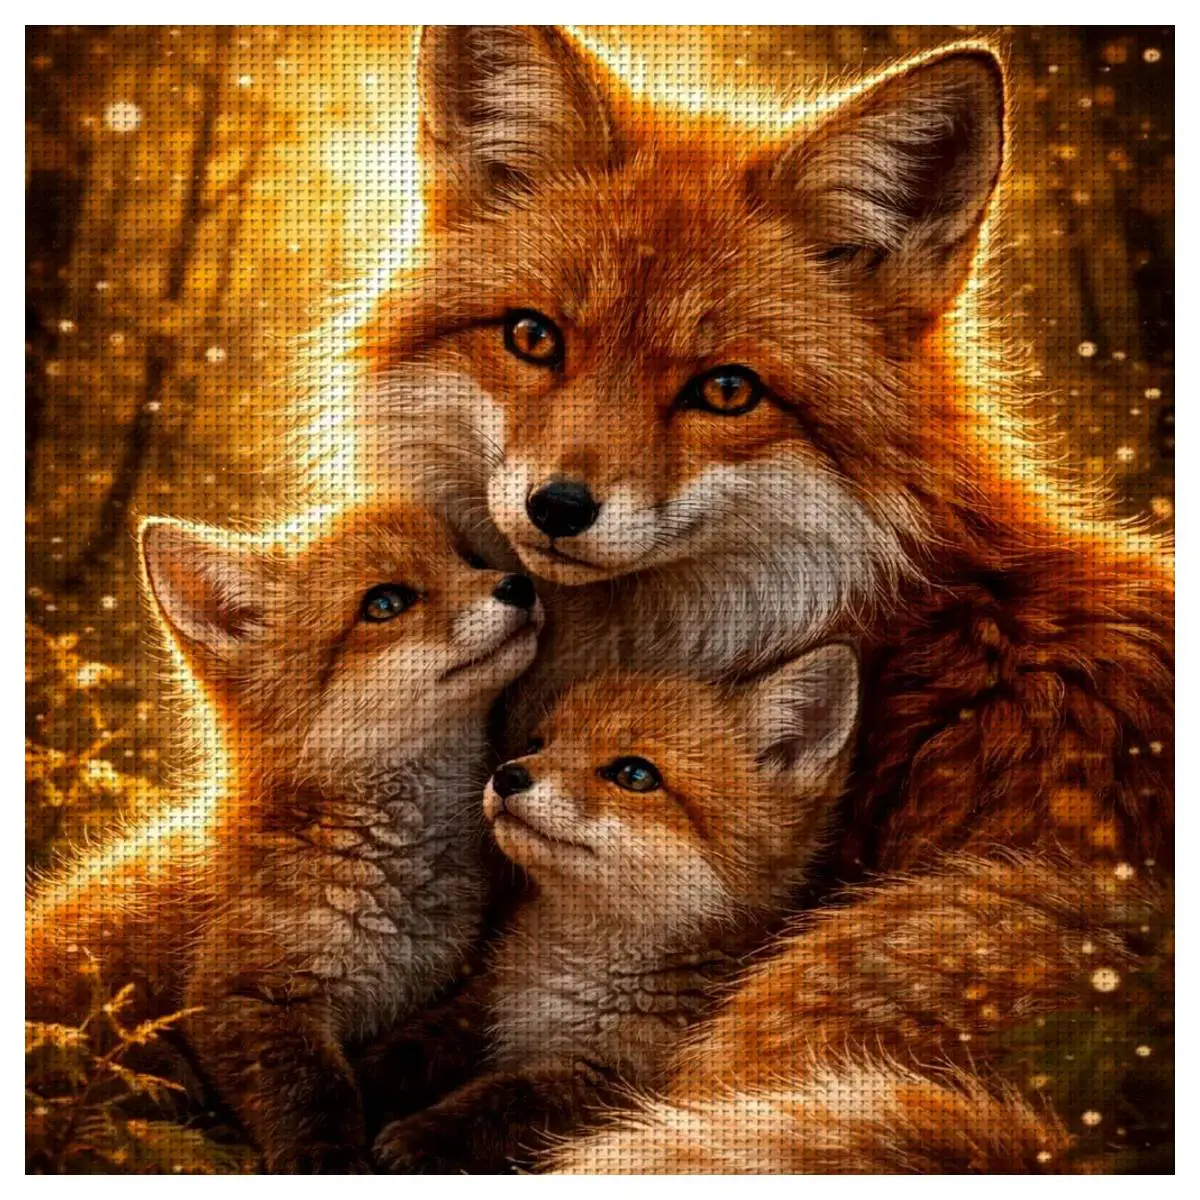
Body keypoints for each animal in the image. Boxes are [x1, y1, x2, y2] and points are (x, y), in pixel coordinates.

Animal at [25, 503, 544, 1172]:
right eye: (386, 602)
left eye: (469, 559)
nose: (519, 584)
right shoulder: (244, 998)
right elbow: (317, 1103)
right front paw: (337, 1162)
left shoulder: (438, 990)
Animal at [367, 643, 860, 1173]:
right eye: (539, 743)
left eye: (635, 775)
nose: (507, 775)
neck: (572, 974)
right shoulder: (488, 1000)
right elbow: (420, 1042)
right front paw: (365, 1080)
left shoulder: (611, 1082)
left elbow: (503, 1102)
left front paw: (418, 1135)